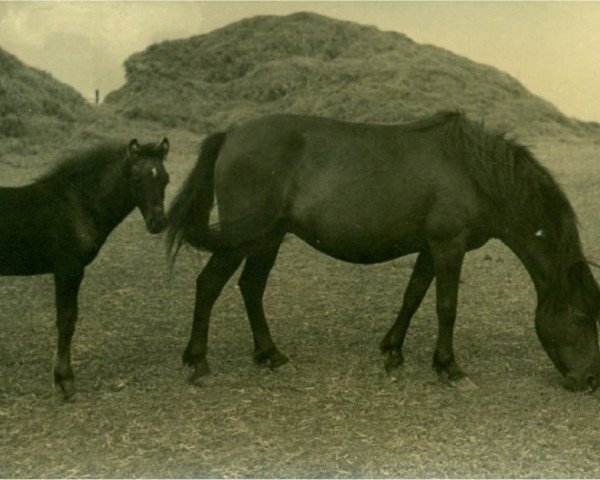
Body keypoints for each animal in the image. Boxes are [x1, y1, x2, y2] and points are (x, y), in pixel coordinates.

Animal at [0, 138, 169, 398]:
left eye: (165, 179)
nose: (157, 223)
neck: (78, 204)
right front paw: (65, 381)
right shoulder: (68, 269)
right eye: (137, 179)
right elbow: (67, 320)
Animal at [166, 113, 600, 394]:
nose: (590, 380)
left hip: (267, 239)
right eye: (582, 316)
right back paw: (200, 364)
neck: (474, 173)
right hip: (243, 238)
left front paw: (393, 352)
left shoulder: (430, 249)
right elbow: (446, 307)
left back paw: (269, 355)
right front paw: (450, 368)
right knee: (208, 285)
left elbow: (412, 297)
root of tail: (231, 134)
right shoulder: (449, 246)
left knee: (251, 287)